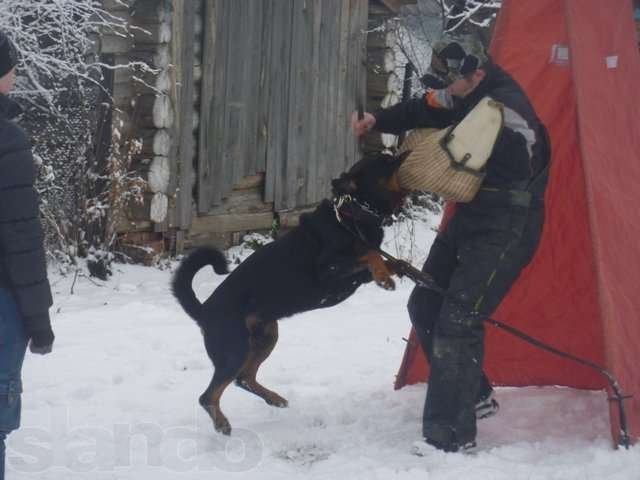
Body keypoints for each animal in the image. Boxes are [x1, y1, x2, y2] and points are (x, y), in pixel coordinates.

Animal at [171, 152, 410, 436]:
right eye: (384, 162)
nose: (402, 152)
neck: (352, 216)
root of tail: (203, 309)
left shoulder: (355, 274)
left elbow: (384, 259)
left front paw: (400, 269)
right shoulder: (328, 268)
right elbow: (369, 254)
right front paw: (384, 277)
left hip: (266, 336)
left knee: (244, 378)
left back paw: (273, 398)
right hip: (234, 348)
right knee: (209, 395)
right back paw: (221, 422)